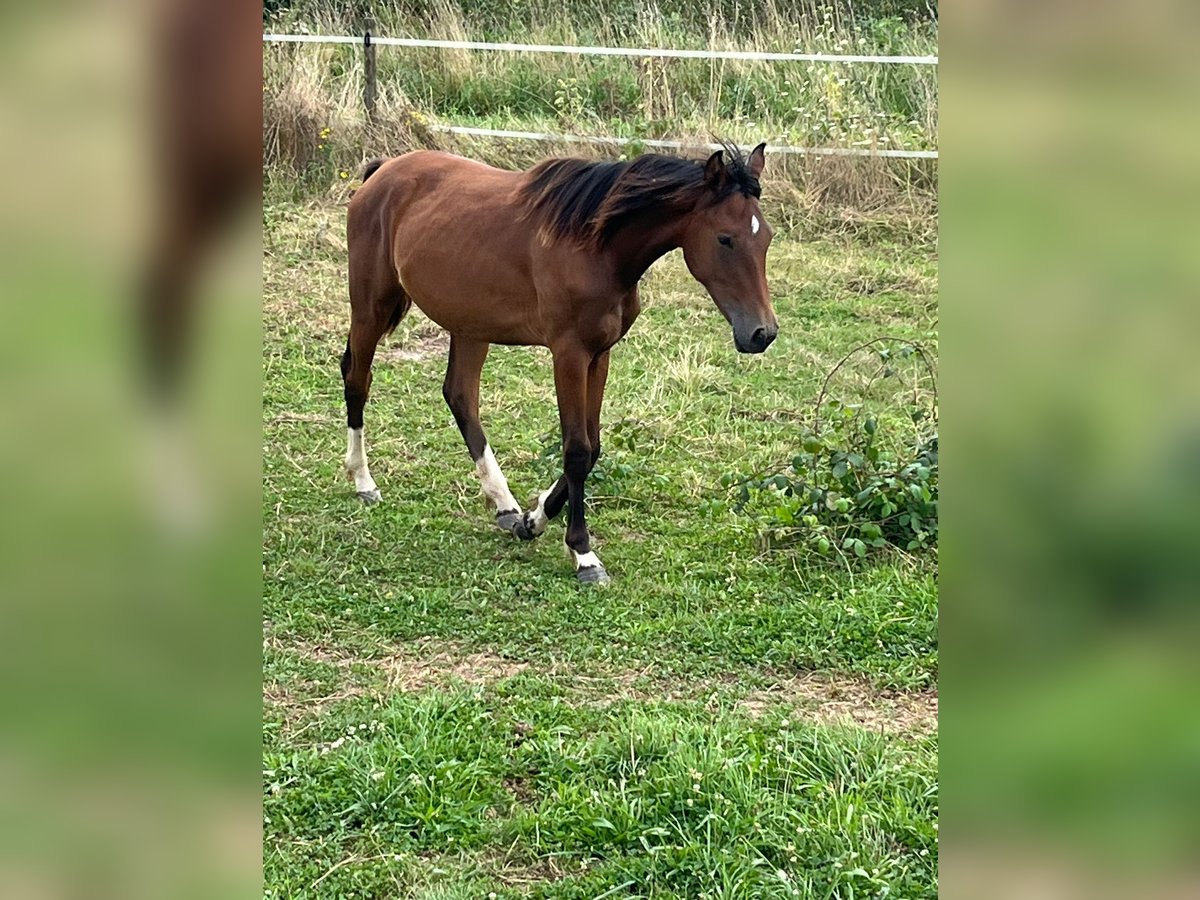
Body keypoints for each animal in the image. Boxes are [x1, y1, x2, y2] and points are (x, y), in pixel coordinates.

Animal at [343, 142, 772, 585]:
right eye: (725, 239)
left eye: (767, 238)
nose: (761, 333)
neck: (596, 246)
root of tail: (383, 171)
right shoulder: (569, 354)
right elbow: (577, 450)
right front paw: (583, 553)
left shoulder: (600, 354)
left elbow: (593, 445)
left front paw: (533, 521)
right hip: (371, 307)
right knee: (357, 379)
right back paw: (363, 481)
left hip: (470, 325)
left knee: (460, 396)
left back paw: (505, 505)